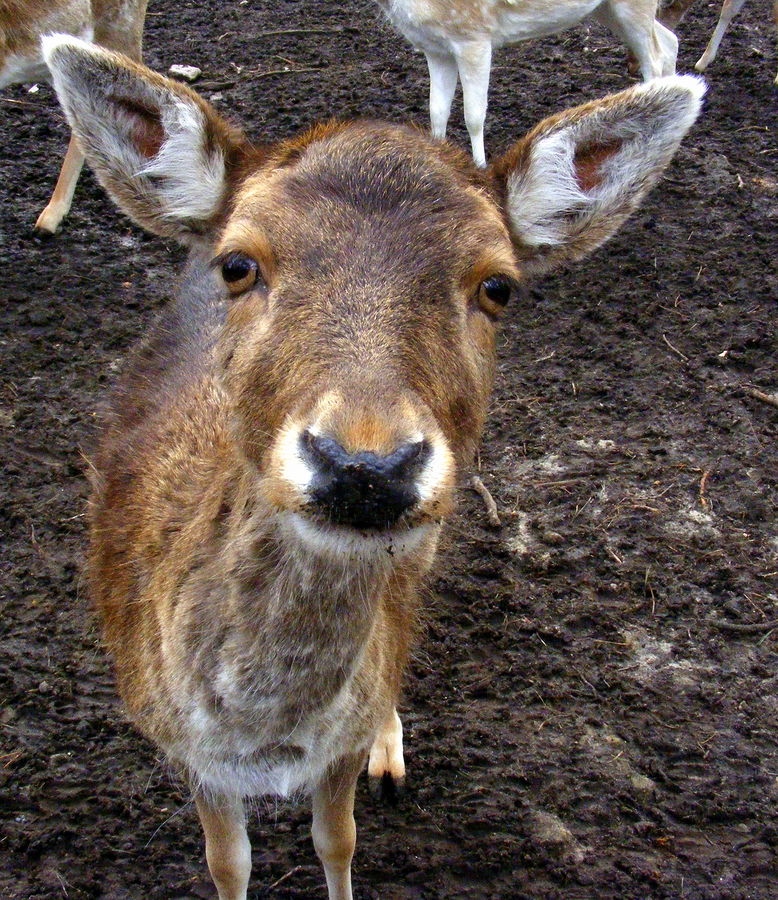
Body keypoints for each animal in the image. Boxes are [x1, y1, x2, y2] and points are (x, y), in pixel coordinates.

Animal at [41, 31, 704, 900]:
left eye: (498, 286)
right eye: (238, 264)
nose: (365, 465)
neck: (265, 738)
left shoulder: (339, 742)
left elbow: (338, 838)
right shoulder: (175, 741)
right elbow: (226, 861)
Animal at [372, 0, 676, 167]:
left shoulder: (474, 37)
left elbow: (473, 116)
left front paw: (480, 166)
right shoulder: (435, 49)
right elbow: (437, 111)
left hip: (632, 6)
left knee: (654, 56)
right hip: (607, 9)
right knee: (669, 40)